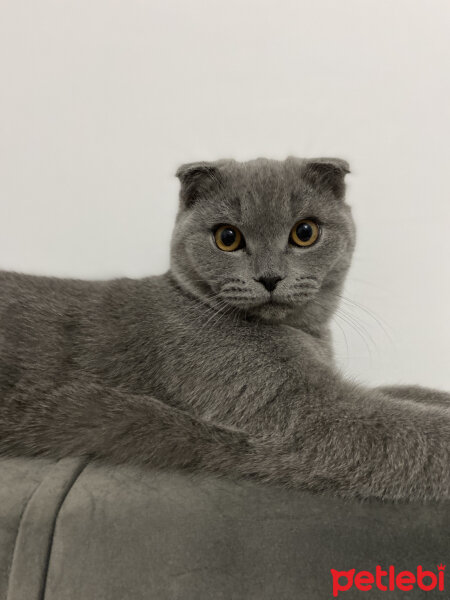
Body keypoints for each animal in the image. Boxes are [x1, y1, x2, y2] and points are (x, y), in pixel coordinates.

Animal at [0, 157, 448, 504]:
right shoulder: (309, 413)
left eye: (305, 232)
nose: (270, 277)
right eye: (227, 237)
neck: (305, 335)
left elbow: (405, 392)